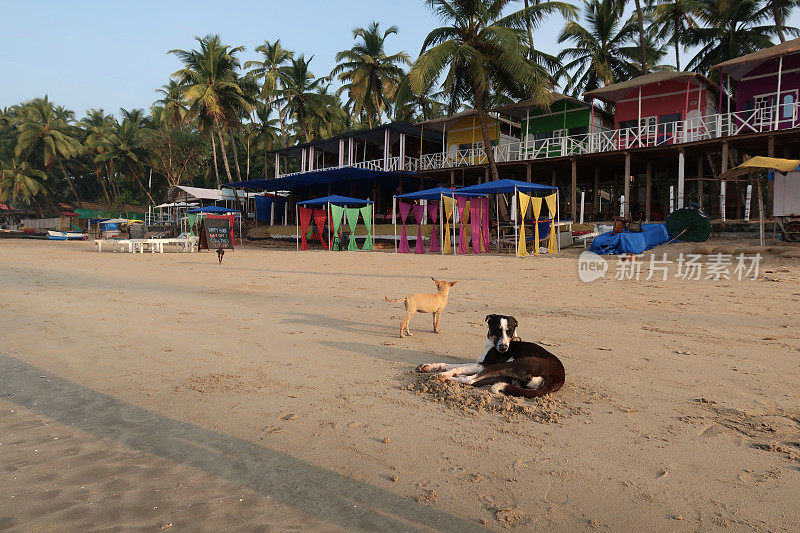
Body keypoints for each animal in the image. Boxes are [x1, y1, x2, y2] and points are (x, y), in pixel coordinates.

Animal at [418, 314, 564, 396]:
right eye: (497, 330)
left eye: (510, 331)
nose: (504, 348)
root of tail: (558, 378)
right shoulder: (479, 363)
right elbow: (450, 364)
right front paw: (430, 366)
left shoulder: (484, 365)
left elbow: (458, 368)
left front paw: (443, 374)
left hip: (510, 365)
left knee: (470, 380)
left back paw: (447, 378)